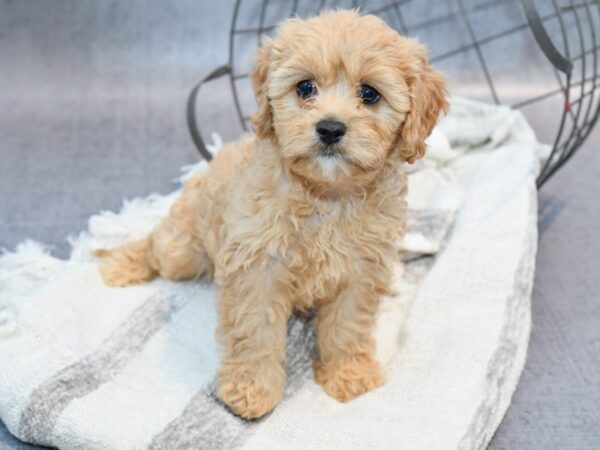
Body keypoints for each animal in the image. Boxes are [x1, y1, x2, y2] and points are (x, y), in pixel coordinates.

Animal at [96, 9, 448, 418]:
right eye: (305, 88)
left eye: (370, 94)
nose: (330, 128)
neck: (326, 195)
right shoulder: (257, 266)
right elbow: (256, 331)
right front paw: (250, 388)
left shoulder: (361, 271)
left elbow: (348, 326)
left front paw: (348, 374)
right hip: (182, 250)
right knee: (157, 243)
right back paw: (121, 262)